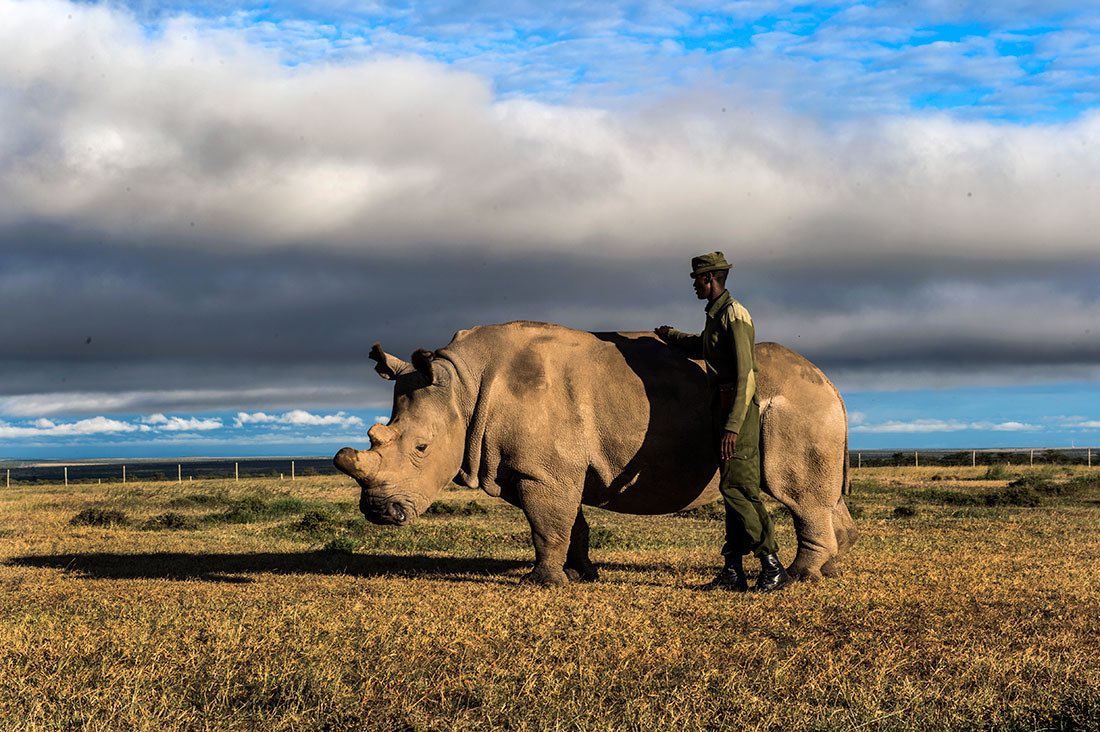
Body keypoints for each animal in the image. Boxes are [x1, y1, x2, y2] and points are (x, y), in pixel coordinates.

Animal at [330, 323, 853, 585]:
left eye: (421, 448)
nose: (378, 513)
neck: (461, 383)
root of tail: (830, 381)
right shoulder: (538, 468)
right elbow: (569, 524)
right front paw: (581, 574)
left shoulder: (542, 470)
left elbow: (547, 525)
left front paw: (543, 582)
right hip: (808, 404)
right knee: (824, 494)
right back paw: (826, 570)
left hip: (795, 406)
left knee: (797, 493)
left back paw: (798, 576)